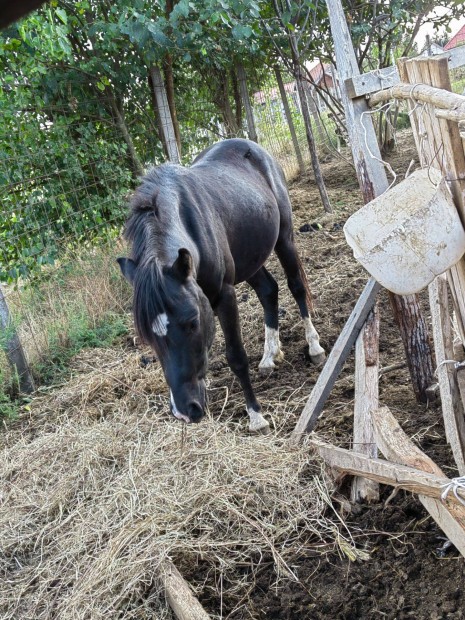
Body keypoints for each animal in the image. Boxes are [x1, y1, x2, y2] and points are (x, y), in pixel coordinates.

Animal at [118, 139, 324, 434]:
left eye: (192, 323)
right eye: (148, 337)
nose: (185, 411)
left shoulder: (224, 295)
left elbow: (235, 356)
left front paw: (256, 417)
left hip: (284, 238)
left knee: (296, 286)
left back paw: (314, 347)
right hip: (249, 259)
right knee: (268, 291)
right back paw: (270, 355)